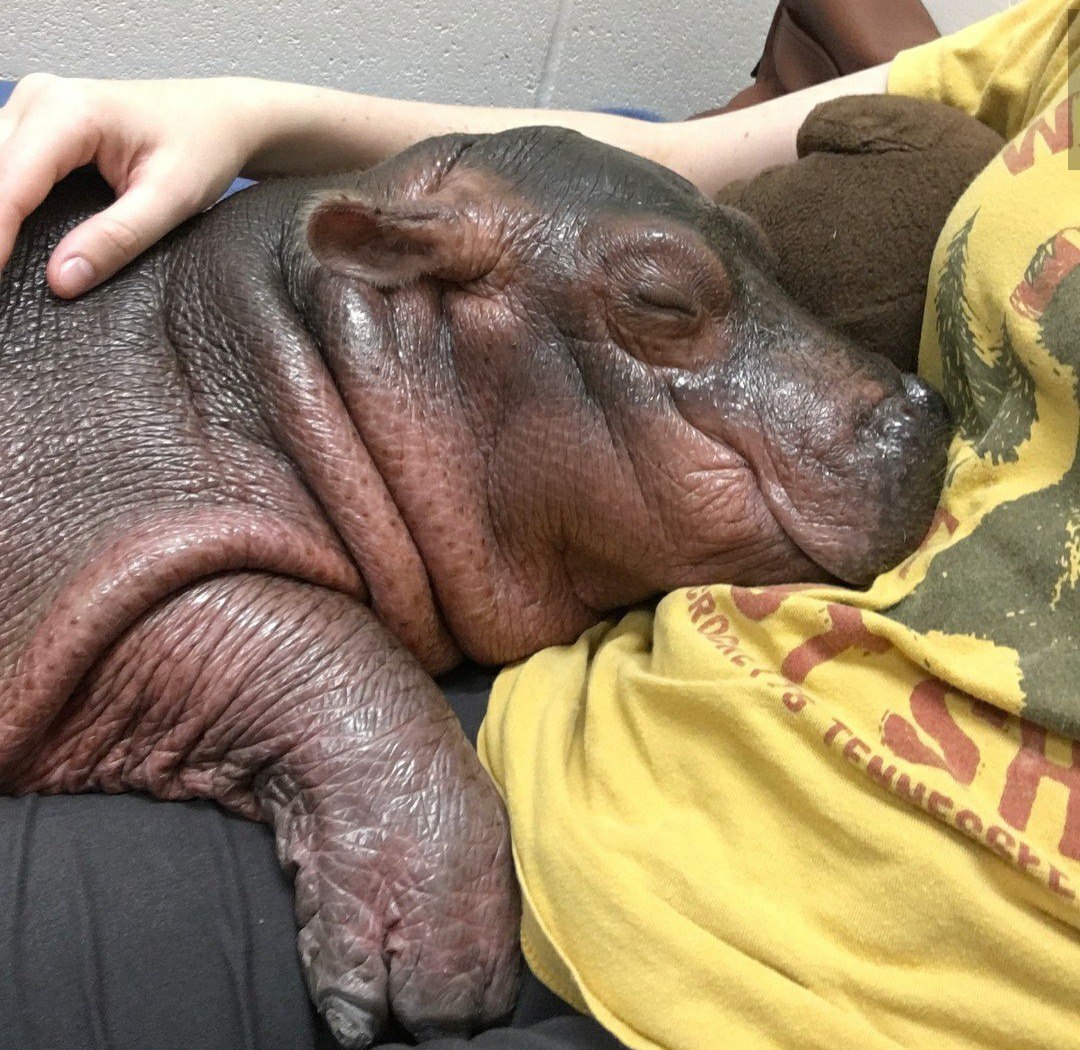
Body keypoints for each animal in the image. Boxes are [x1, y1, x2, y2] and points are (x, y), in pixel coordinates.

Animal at [0, 126, 946, 1045]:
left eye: (761, 241)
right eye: (661, 300)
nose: (928, 408)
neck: (303, 332)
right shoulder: (99, 535)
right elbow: (319, 640)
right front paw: (431, 982)